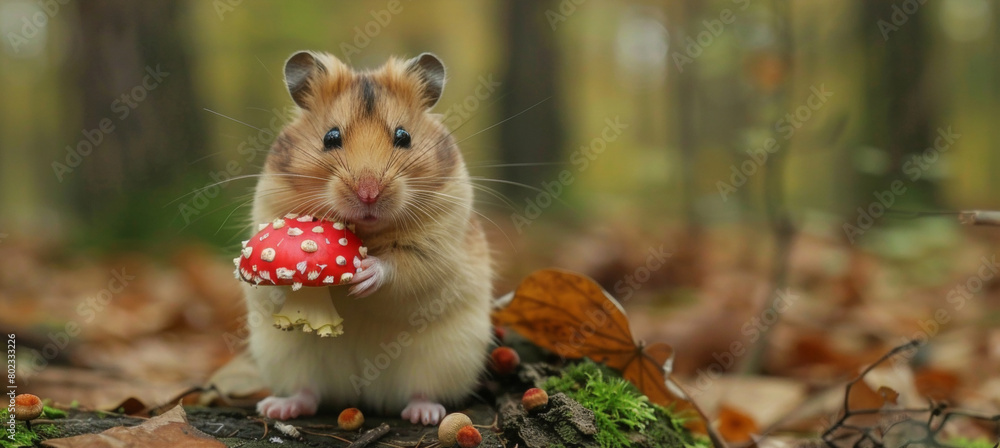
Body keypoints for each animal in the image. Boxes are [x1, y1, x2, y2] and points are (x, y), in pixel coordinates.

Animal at [243, 51, 493, 425]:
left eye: (403, 136)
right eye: (330, 137)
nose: (369, 194)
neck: (367, 232)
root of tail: (364, 391)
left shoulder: (440, 238)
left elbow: (405, 266)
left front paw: (365, 273)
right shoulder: (268, 206)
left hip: (446, 356)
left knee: (422, 391)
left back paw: (425, 414)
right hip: (285, 356)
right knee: (308, 392)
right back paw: (277, 407)